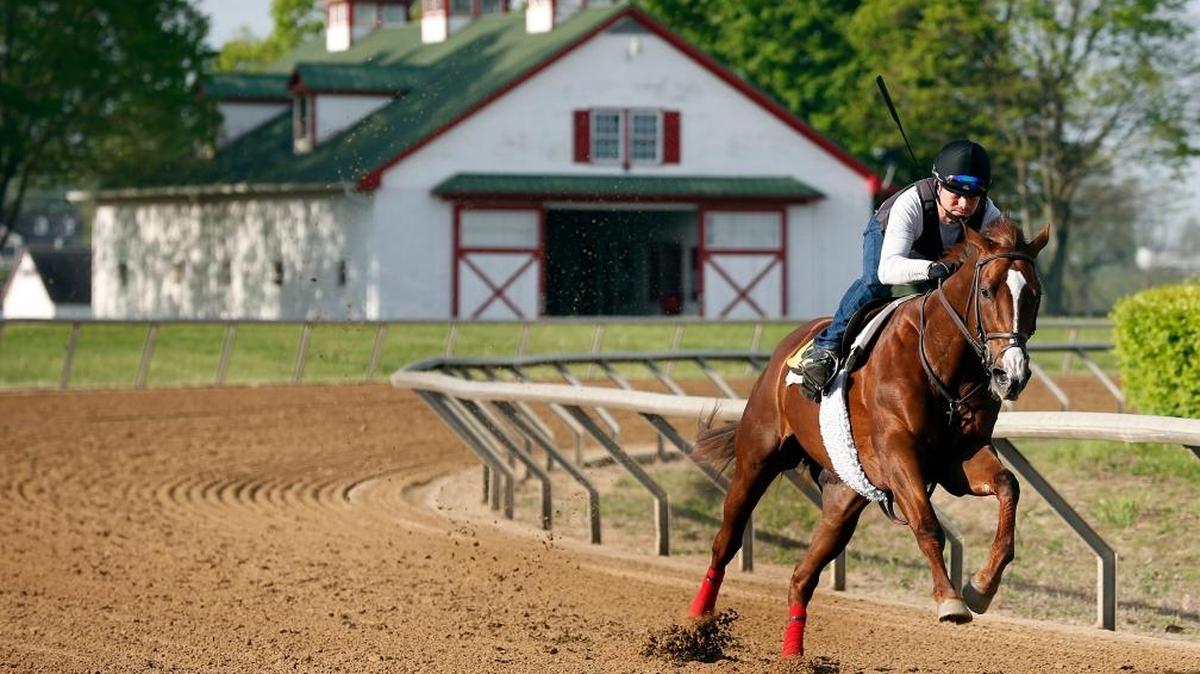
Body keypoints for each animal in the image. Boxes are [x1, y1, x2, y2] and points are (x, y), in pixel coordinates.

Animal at [686, 217, 1050, 658]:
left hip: (845, 495)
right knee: (726, 542)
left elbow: (1008, 485)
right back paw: (698, 619)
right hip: (757, 459)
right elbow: (927, 524)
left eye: (1034, 295)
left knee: (802, 576)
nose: (1010, 375)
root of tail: (785, 349)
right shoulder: (898, 455)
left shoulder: (959, 458)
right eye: (986, 291)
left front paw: (981, 586)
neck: (943, 362)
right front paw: (950, 599)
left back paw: (793, 653)